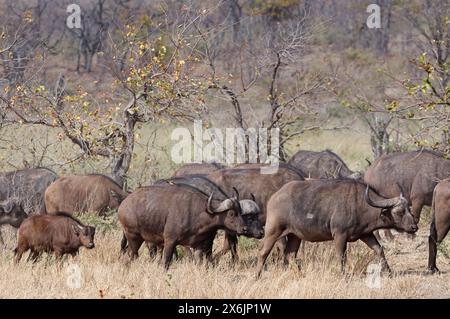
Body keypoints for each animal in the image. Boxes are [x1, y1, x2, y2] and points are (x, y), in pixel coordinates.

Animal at [119, 182, 262, 270]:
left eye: (241, 212)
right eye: (232, 213)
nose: (244, 229)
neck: (199, 213)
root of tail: (124, 204)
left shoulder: (199, 245)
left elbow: (200, 262)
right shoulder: (170, 241)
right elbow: (166, 262)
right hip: (133, 237)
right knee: (131, 256)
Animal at [255, 179, 416, 278]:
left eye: (409, 209)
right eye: (399, 212)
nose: (414, 227)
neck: (360, 204)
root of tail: (274, 197)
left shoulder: (366, 234)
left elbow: (379, 249)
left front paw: (389, 271)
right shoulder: (340, 235)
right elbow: (342, 256)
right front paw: (343, 275)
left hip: (295, 236)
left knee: (290, 255)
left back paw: (300, 275)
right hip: (272, 231)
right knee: (263, 252)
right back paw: (257, 276)